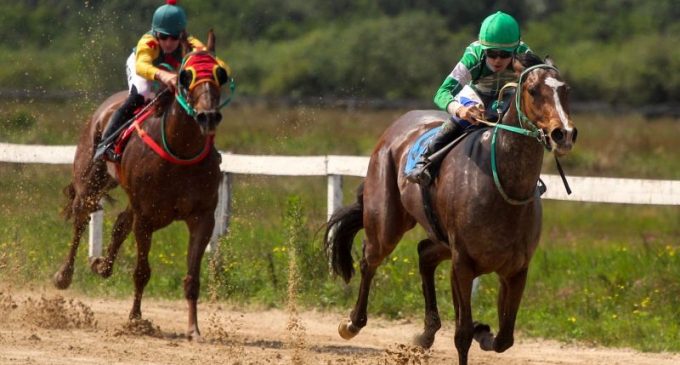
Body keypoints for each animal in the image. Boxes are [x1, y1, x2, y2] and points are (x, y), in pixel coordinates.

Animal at [51, 29, 231, 340]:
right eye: (186, 76)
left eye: (220, 73)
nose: (208, 116)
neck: (180, 150)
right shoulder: (146, 218)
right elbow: (142, 271)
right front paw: (135, 320)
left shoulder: (202, 217)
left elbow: (192, 277)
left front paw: (193, 329)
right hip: (91, 181)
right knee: (81, 218)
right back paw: (64, 274)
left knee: (121, 222)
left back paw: (101, 265)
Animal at [326, 52, 576, 362]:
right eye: (532, 90)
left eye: (565, 90)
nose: (563, 134)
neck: (503, 189)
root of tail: (398, 126)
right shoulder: (463, 264)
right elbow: (462, 334)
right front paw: (474, 330)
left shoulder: (516, 270)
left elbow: (504, 338)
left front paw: (483, 330)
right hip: (386, 222)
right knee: (369, 259)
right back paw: (351, 323)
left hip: (441, 237)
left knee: (424, 253)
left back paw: (426, 332)